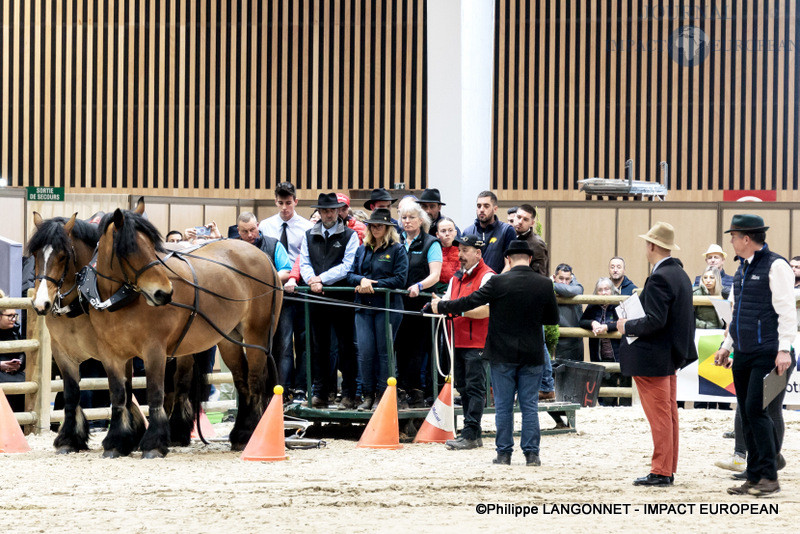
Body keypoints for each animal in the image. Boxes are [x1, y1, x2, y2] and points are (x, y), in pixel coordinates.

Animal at [28, 215, 206, 456]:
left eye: (63, 256)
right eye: (35, 254)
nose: (41, 304)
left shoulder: (115, 350)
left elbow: (125, 389)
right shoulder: (63, 352)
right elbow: (73, 393)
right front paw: (69, 439)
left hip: (183, 349)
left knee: (181, 384)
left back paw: (178, 432)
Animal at [86, 199, 282, 458]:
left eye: (153, 247)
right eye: (130, 249)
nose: (164, 293)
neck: (121, 301)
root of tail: (263, 257)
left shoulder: (155, 351)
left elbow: (156, 394)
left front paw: (154, 443)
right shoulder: (112, 355)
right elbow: (119, 396)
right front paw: (116, 442)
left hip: (257, 335)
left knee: (255, 381)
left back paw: (250, 435)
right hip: (229, 338)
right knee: (242, 382)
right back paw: (240, 435)